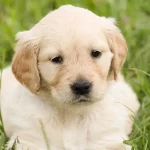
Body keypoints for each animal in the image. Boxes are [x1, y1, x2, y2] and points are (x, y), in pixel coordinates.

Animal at [0, 4, 140, 150]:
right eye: (56, 59)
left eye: (96, 53)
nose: (82, 87)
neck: (72, 116)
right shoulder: (29, 141)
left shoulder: (109, 140)